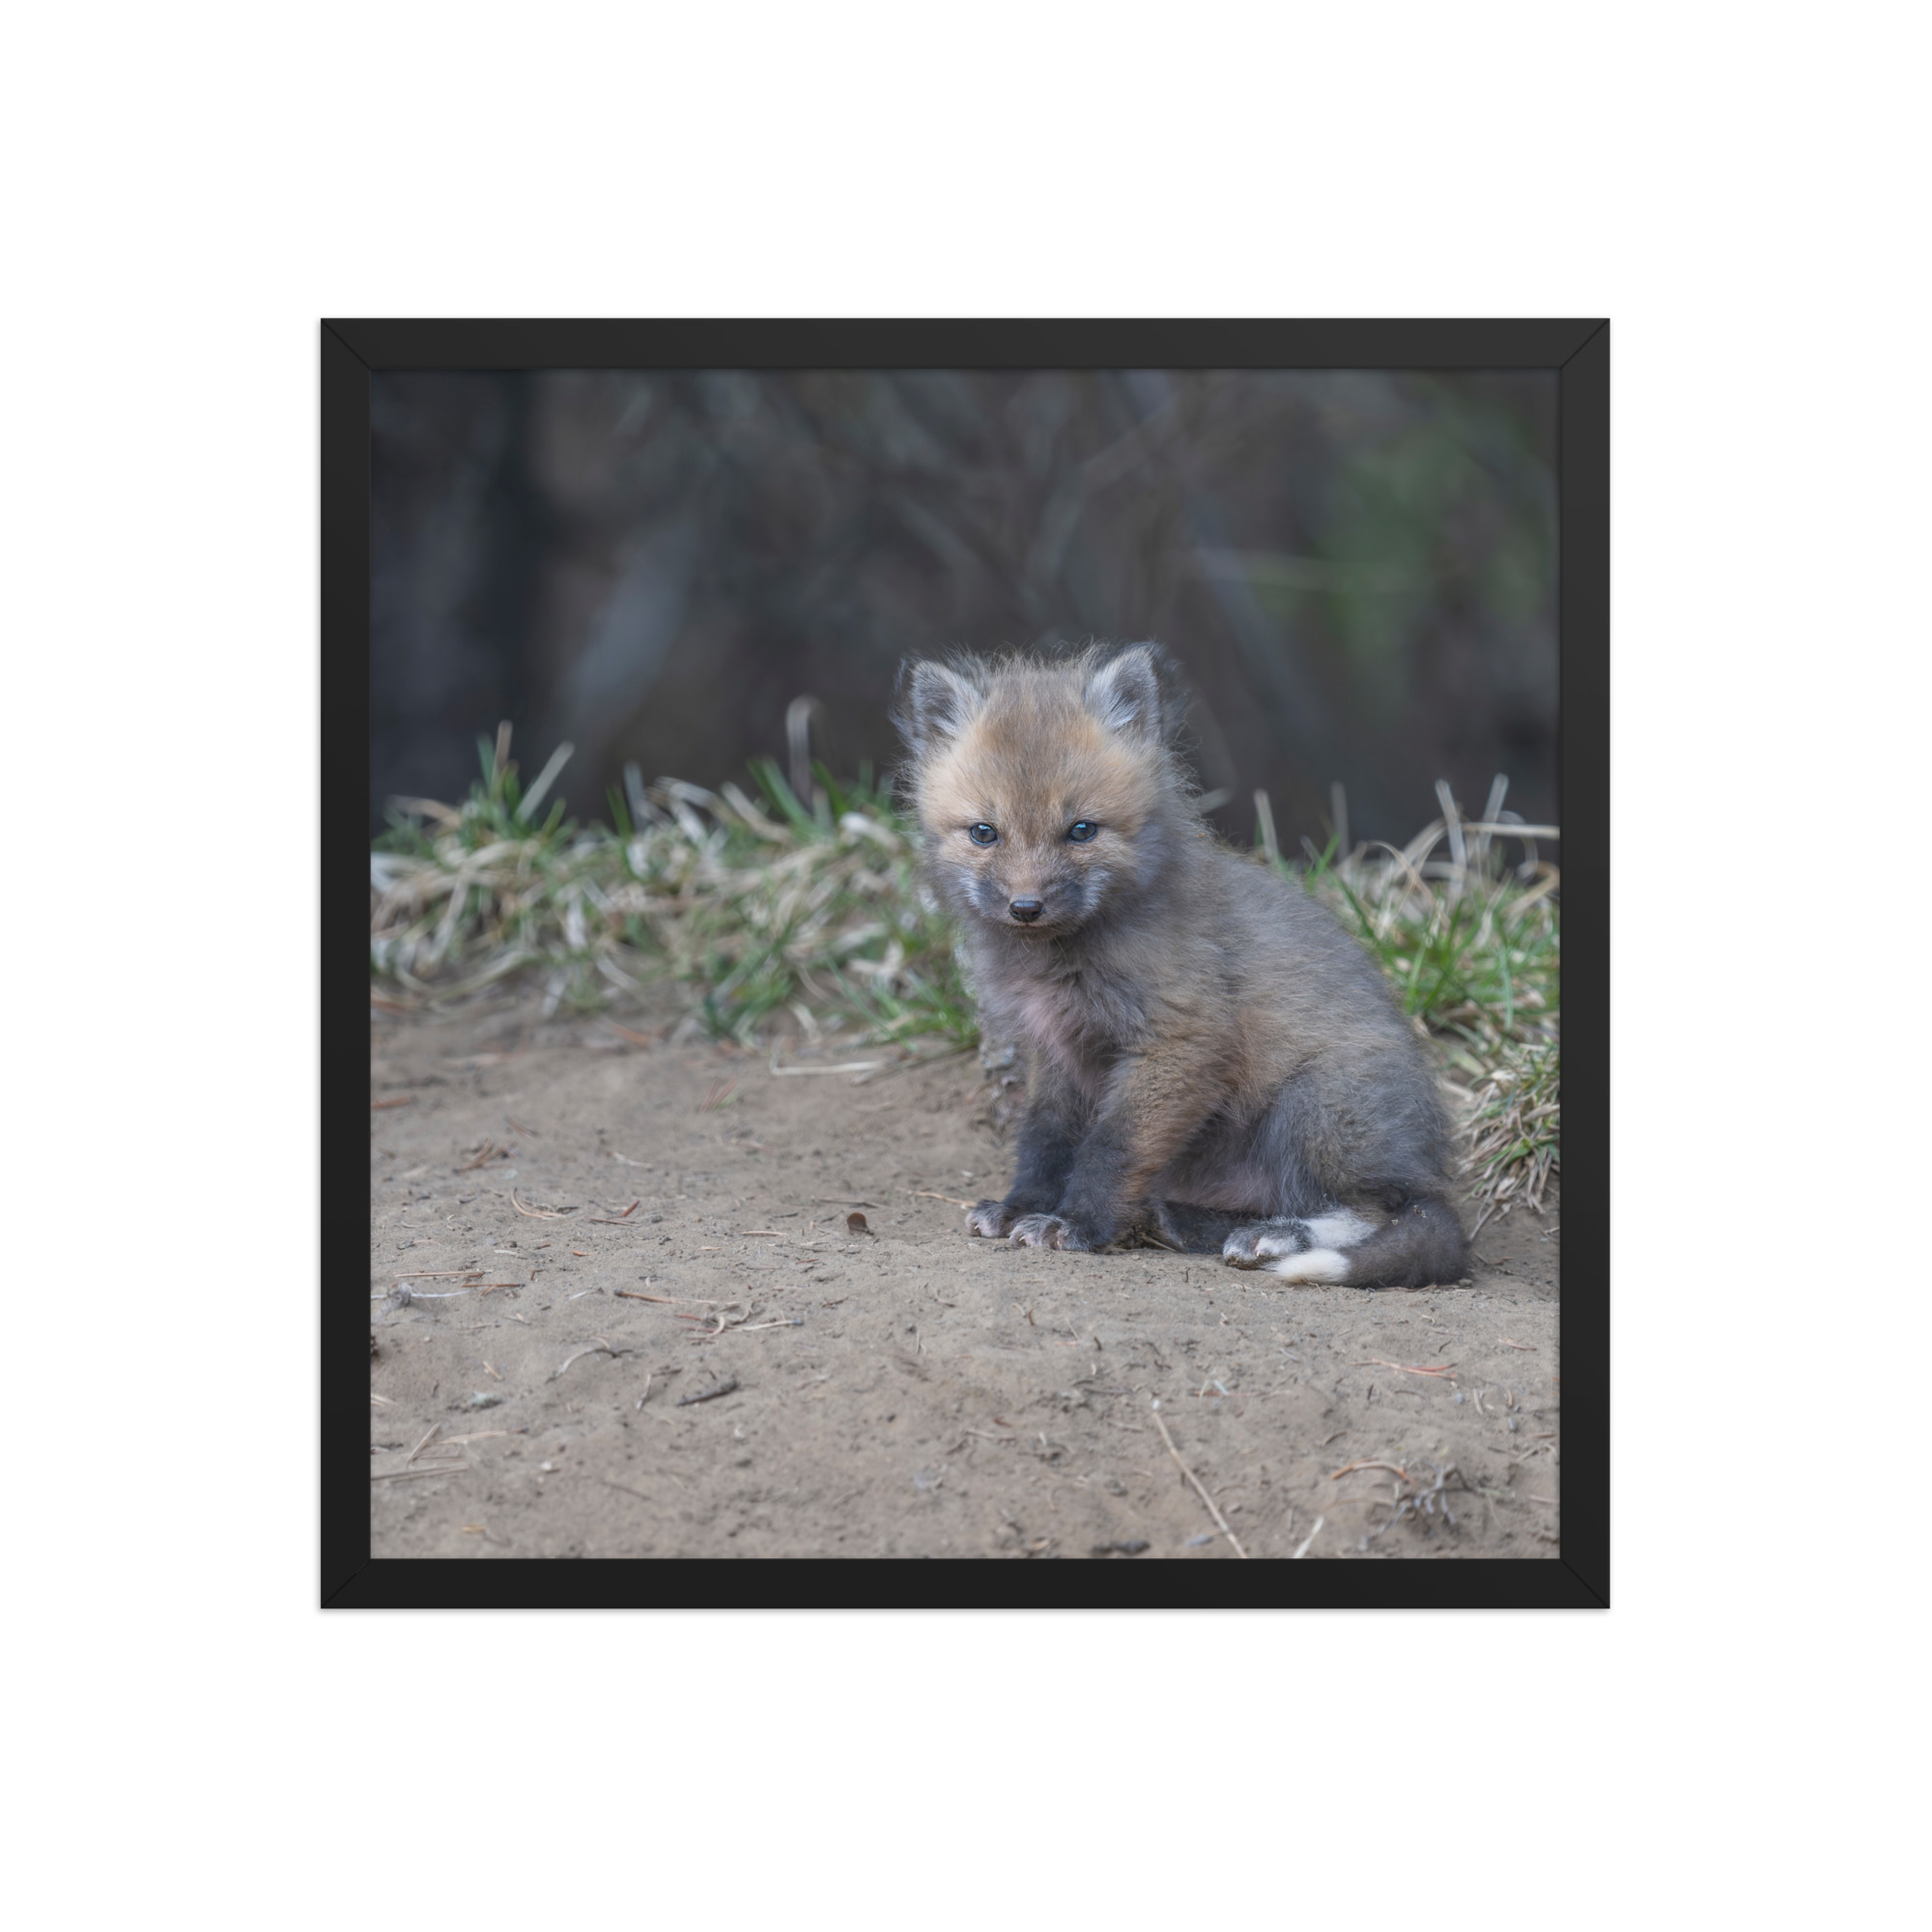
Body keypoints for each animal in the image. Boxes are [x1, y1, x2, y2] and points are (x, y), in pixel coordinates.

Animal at [893, 641, 1467, 1289]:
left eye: (1081, 830)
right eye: (984, 833)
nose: (1026, 907)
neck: (1059, 963)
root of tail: (1429, 1168)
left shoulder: (1179, 1040)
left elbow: (1111, 1148)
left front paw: (1078, 1225)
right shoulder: (1056, 1052)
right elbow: (1044, 1141)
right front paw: (1022, 1207)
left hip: (1313, 1107)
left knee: (1380, 1211)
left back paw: (1276, 1237)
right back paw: (1187, 1221)